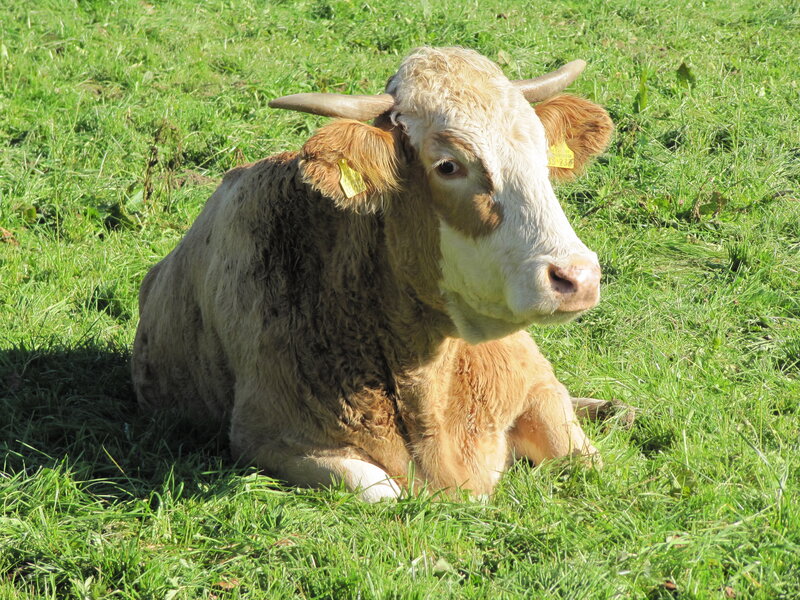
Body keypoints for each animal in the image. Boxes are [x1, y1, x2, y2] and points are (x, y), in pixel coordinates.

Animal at [132, 47, 614, 502]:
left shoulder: (537, 385)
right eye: (448, 165)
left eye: (541, 154)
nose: (576, 277)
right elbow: (377, 488)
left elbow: (584, 458)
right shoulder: (263, 436)